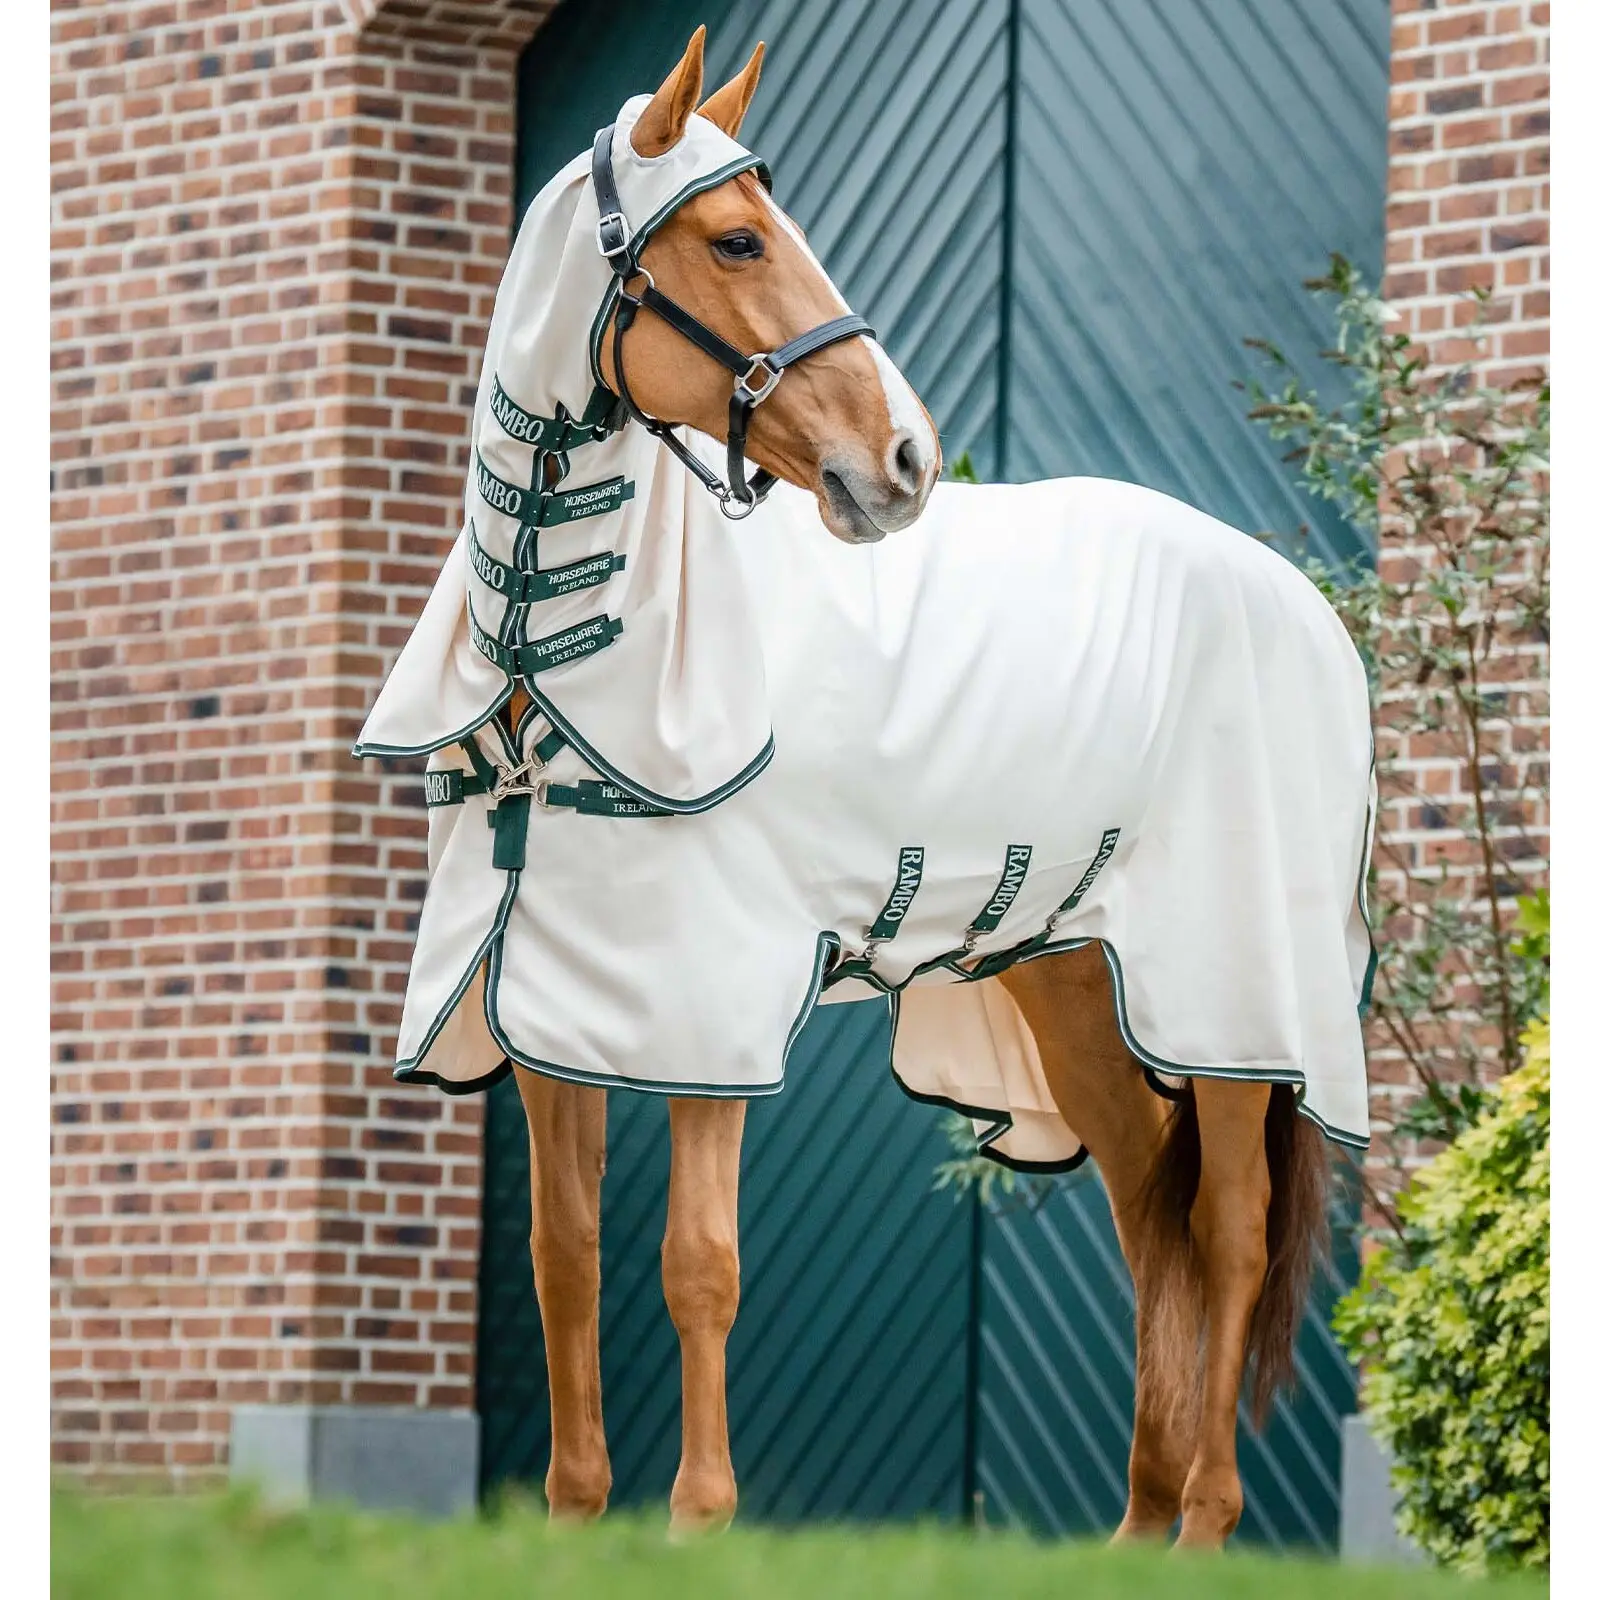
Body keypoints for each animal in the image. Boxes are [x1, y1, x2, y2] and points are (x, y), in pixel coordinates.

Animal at [354, 27, 1375, 1551]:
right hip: (1071, 978)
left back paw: (1203, 1525)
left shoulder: (701, 1001)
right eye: (733, 238)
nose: (904, 462)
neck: (563, 647)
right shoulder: (548, 1001)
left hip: (1235, 1002)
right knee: (1151, 1212)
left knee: (1232, 1228)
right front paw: (577, 1521)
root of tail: (1297, 600)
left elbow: (697, 1260)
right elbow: (566, 1255)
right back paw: (1136, 1536)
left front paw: (698, 1525)